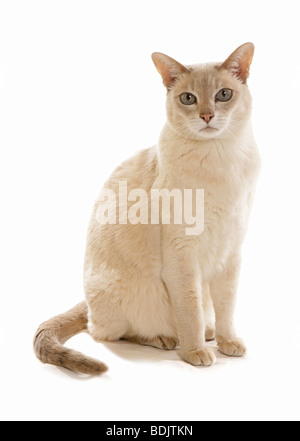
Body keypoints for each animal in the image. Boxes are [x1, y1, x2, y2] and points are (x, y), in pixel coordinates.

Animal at [34, 43, 260, 374]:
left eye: (223, 95)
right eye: (188, 98)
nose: (207, 115)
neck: (220, 160)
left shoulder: (230, 252)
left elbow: (226, 309)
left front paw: (228, 342)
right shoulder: (182, 255)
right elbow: (190, 309)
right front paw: (195, 352)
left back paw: (209, 332)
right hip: (126, 296)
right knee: (105, 331)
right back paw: (167, 338)